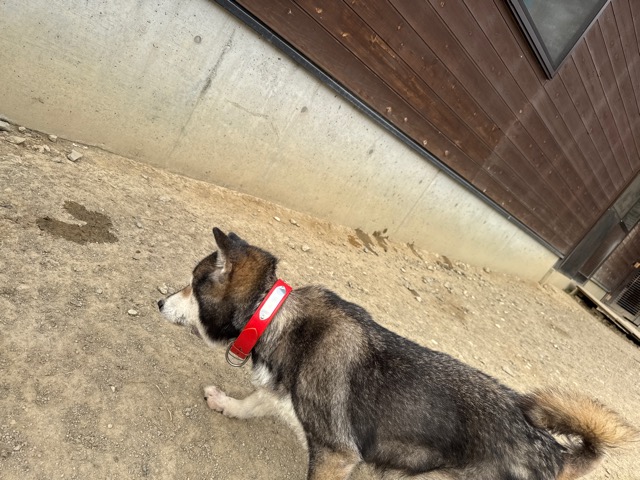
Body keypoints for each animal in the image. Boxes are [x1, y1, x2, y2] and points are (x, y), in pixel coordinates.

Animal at [158, 228, 636, 479]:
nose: (159, 302)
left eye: (191, 284)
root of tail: (552, 452)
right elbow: (253, 402)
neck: (273, 315)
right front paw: (226, 404)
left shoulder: (335, 453)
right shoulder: (281, 393)